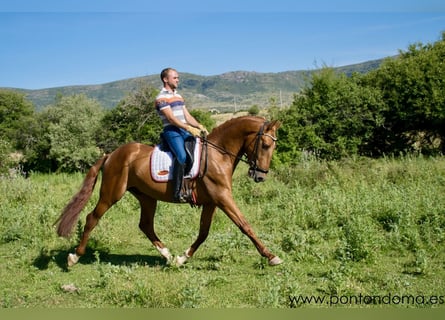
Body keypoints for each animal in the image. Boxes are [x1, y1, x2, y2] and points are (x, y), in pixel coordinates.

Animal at [55, 116, 282, 266]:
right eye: (265, 144)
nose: (260, 176)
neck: (218, 154)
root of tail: (111, 155)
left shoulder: (212, 202)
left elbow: (203, 232)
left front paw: (182, 258)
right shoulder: (223, 198)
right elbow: (245, 225)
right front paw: (271, 256)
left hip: (147, 197)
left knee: (146, 225)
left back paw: (167, 255)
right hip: (111, 194)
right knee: (92, 218)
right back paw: (74, 257)